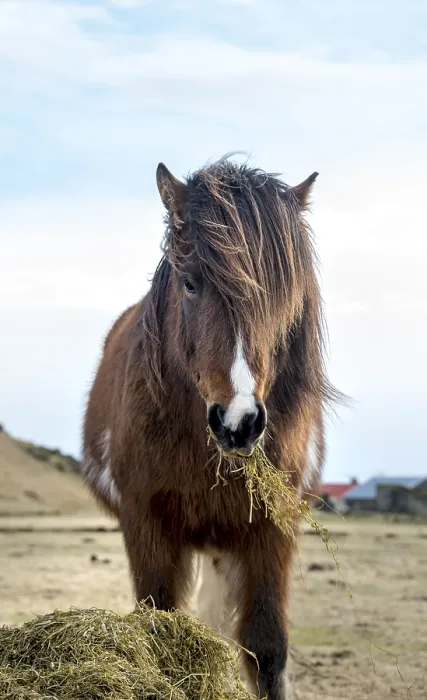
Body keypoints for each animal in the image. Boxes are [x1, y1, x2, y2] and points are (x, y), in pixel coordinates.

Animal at [82, 155, 337, 700]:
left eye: (283, 297)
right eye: (190, 283)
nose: (238, 424)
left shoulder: (271, 532)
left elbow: (266, 649)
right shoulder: (147, 527)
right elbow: (162, 635)